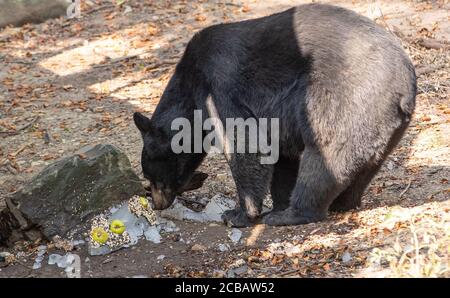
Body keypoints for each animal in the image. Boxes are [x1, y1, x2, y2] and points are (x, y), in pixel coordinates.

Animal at [133, 3, 414, 226]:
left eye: (150, 175)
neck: (190, 84)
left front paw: (239, 214)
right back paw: (340, 203)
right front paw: (276, 202)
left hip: (346, 97)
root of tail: (406, 84)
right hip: (385, 123)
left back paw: (292, 214)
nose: (157, 204)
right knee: (367, 163)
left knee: (326, 153)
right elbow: (279, 156)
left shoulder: (220, 86)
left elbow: (244, 142)